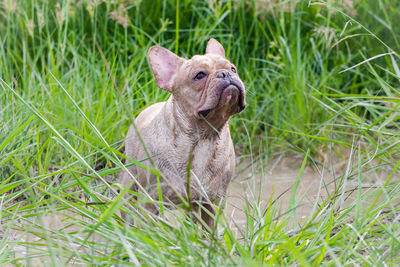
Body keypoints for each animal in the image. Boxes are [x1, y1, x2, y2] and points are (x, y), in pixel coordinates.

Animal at [119, 38, 245, 229]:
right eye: (199, 75)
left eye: (233, 69)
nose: (225, 74)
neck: (203, 138)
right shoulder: (150, 202)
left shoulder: (213, 203)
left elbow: (210, 232)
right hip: (130, 181)